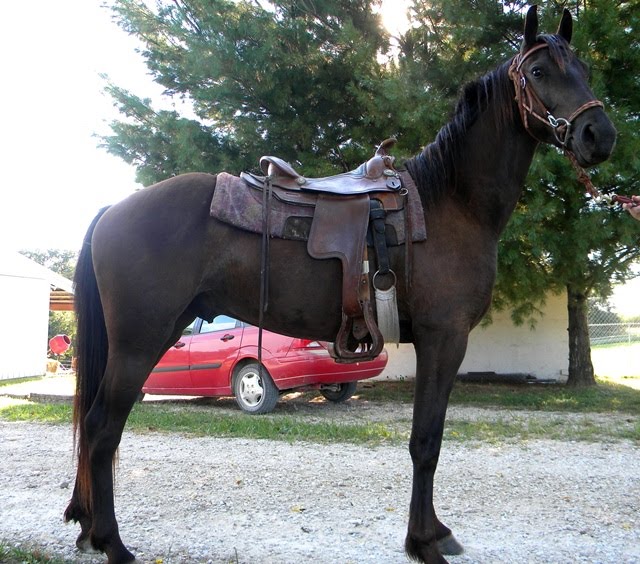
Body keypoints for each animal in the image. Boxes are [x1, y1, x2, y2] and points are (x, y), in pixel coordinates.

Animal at [64, 6, 616, 563]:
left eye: (586, 68)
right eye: (540, 72)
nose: (600, 135)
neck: (452, 203)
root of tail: (114, 210)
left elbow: (428, 439)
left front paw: (433, 532)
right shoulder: (443, 339)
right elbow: (426, 442)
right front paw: (424, 541)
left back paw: (90, 529)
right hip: (140, 342)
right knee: (102, 427)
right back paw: (112, 542)